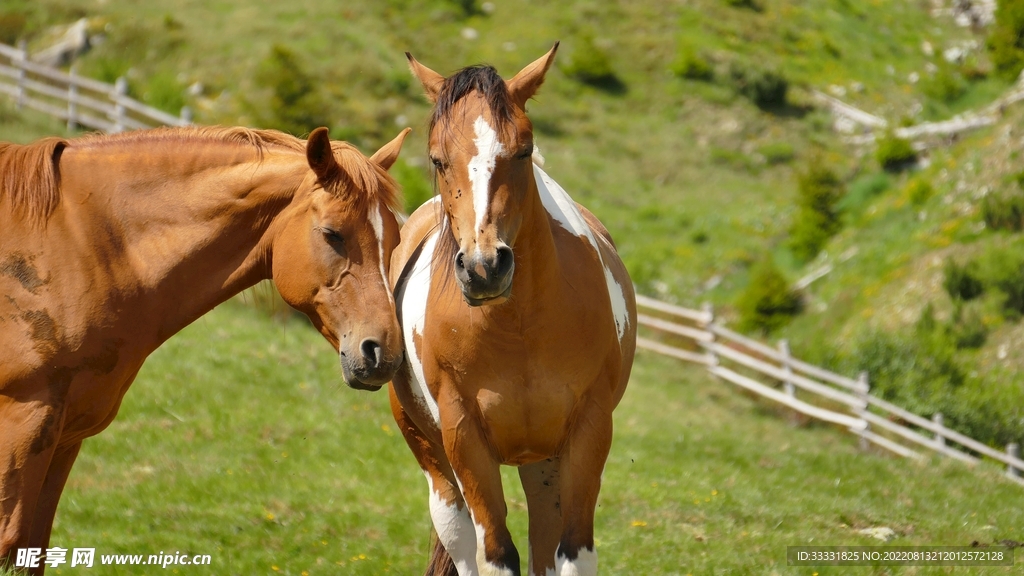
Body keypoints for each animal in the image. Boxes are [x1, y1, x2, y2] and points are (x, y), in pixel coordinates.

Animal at [0, 125, 410, 573]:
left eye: (394, 241)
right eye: (332, 234)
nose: (384, 353)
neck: (80, 246)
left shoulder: (63, 440)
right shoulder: (22, 424)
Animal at [389, 44, 637, 576]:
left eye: (523, 151)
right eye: (437, 159)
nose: (485, 268)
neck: (517, 329)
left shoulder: (588, 431)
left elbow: (572, 552)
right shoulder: (465, 439)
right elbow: (497, 553)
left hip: (543, 464)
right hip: (438, 466)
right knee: (462, 539)